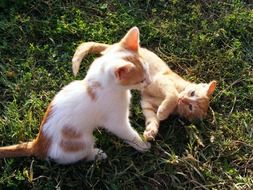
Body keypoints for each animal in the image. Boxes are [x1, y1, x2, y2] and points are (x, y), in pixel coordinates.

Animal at [0, 27, 150, 165]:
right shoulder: (115, 120)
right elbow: (127, 133)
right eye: (140, 80)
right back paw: (97, 154)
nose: (149, 82)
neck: (102, 83)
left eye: (147, 70)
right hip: (81, 142)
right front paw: (142, 145)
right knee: (83, 155)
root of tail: (38, 145)